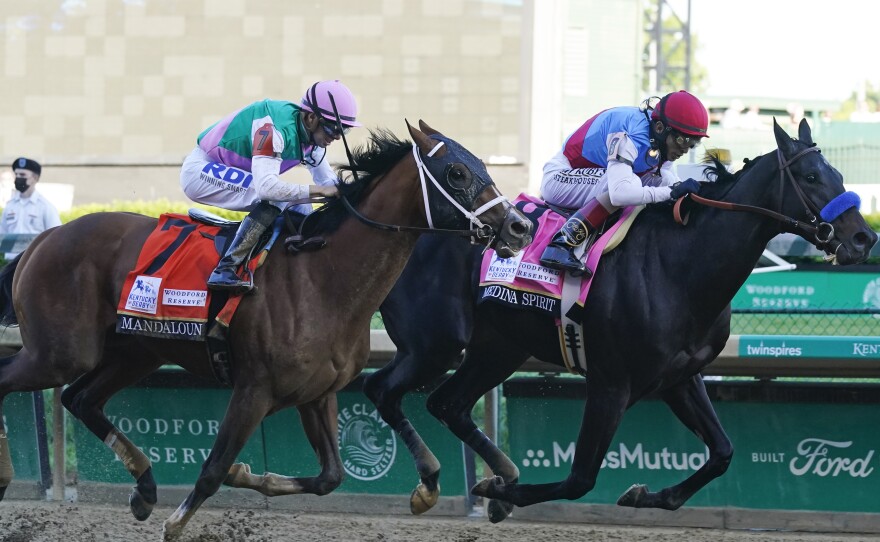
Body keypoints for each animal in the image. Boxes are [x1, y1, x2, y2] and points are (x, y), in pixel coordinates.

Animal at [0, 121, 532, 540]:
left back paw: (145, 488)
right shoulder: (253, 389)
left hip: (133, 353)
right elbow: (212, 469)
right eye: (457, 172)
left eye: (479, 164)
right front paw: (176, 521)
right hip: (58, 353)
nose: (519, 227)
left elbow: (329, 476)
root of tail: (43, 239)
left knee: (81, 399)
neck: (323, 278)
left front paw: (246, 474)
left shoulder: (318, 394)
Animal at [364, 120, 872, 524]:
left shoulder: (679, 378)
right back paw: (435, 483)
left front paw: (645, 493)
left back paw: (493, 475)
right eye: (811, 176)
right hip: (434, 344)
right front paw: (497, 491)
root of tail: (406, 229)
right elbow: (580, 479)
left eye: (838, 175)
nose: (864, 238)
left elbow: (723, 453)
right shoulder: (610, 384)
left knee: (447, 404)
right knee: (381, 389)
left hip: (497, 348)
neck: (679, 266)